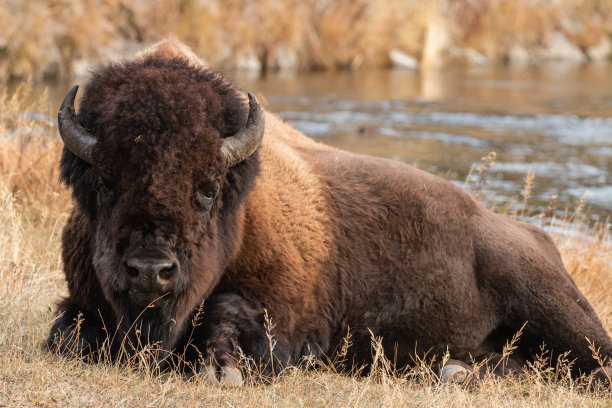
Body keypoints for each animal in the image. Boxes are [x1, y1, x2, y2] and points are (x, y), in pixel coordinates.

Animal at [49, 39, 612, 388]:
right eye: (104, 182)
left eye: (207, 189)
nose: (150, 271)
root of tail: (536, 235)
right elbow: (66, 337)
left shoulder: (285, 313)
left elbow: (230, 320)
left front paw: (223, 370)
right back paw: (455, 372)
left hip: (560, 313)